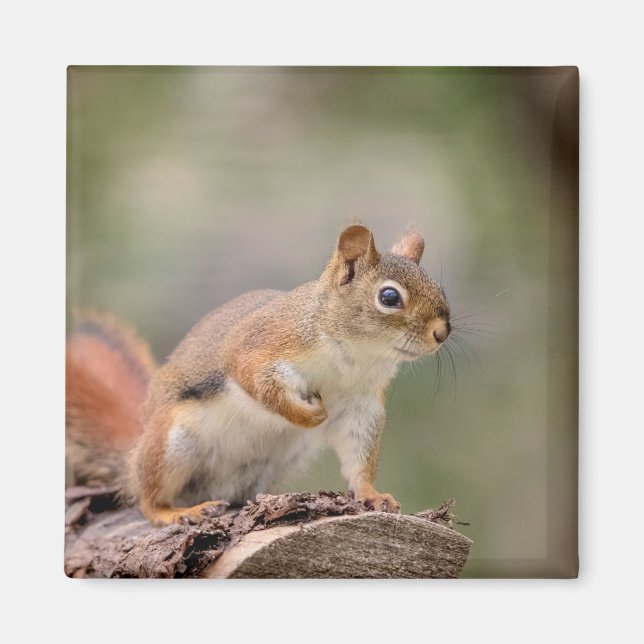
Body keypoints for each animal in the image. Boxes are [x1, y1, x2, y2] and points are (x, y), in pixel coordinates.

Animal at [66, 224, 450, 526]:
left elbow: (358, 452)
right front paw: (308, 415)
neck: (355, 355)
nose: (442, 332)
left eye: (440, 289)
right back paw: (175, 512)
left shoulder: (361, 403)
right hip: (170, 445)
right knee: (147, 498)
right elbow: (258, 383)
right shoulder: (260, 344)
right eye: (389, 297)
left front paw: (372, 494)